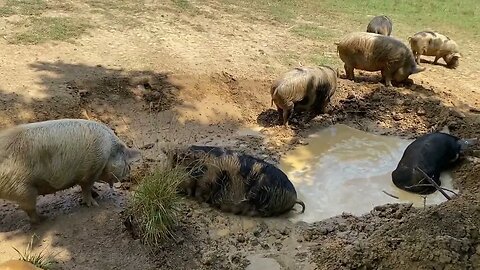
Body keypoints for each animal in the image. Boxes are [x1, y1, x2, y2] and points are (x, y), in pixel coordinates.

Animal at [0, 118, 142, 224]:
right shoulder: (91, 170)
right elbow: (86, 187)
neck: (108, 153)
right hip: (23, 188)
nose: (130, 170)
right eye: (126, 160)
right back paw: (45, 218)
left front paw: (96, 195)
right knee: (29, 209)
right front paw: (94, 204)